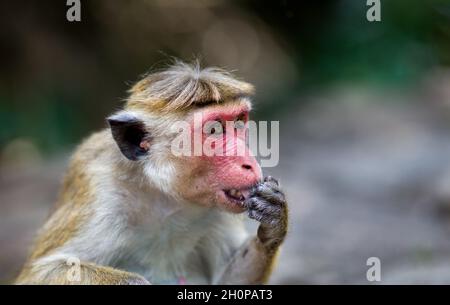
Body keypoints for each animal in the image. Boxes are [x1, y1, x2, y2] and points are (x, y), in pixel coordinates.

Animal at [16, 61, 288, 284]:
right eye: (213, 130)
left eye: (239, 121)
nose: (249, 163)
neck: (164, 197)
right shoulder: (100, 188)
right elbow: (41, 272)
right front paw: (132, 283)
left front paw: (274, 220)